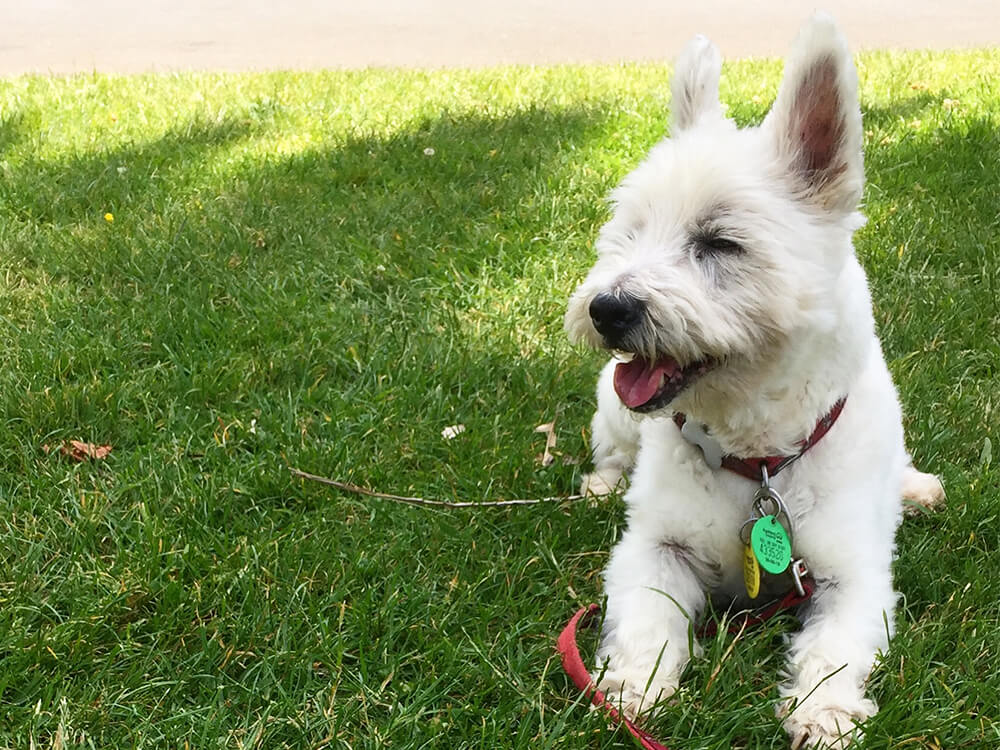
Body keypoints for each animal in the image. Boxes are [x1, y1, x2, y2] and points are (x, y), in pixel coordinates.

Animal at [572, 14, 944, 748]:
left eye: (720, 243)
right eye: (628, 232)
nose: (607, 309)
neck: (756, 457)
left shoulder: (853, 577)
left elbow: (834, 651)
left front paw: (822, 713)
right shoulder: (653, 547)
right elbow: (646, 617)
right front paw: (630, 687)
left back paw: (915, 487)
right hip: (613, 406)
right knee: (613, 444)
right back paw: (603, 483)